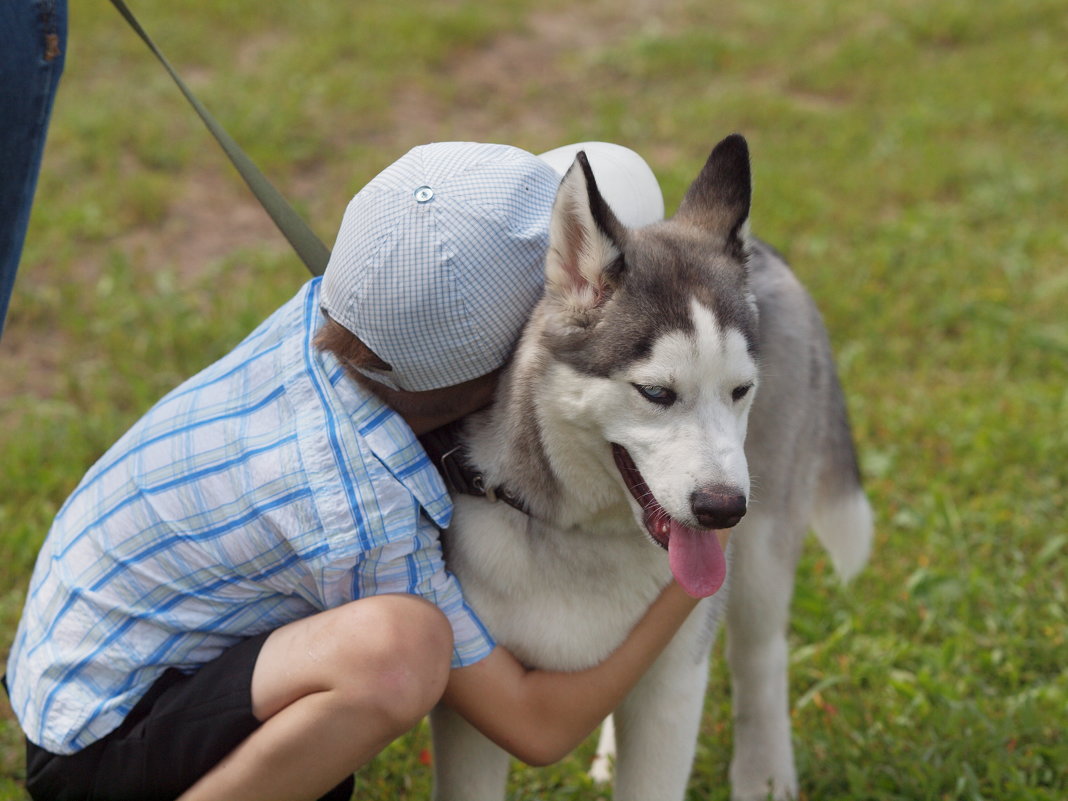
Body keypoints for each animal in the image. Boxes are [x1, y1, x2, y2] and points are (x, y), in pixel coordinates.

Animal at [429, 136, 871, 801]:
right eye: (657, 393)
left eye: (740, 390)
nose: (723, 510)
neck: (581, 536)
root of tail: (763, 251)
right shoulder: (473, 709)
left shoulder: (675, 677)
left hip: (763, 553)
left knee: (760, 657)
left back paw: (765, 777)